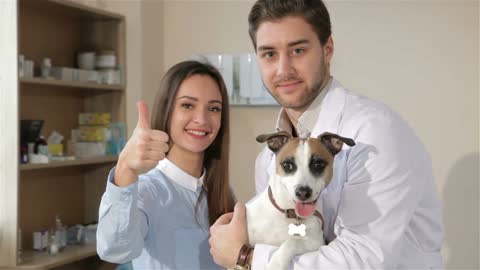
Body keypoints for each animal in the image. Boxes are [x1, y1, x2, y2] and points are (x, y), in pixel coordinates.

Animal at [246, 131, 354, 270]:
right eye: (287, 165)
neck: (289, 213)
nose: (303, 192)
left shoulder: (316, 242)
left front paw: (276, 264)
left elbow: (292, 241)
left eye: (318, 164)